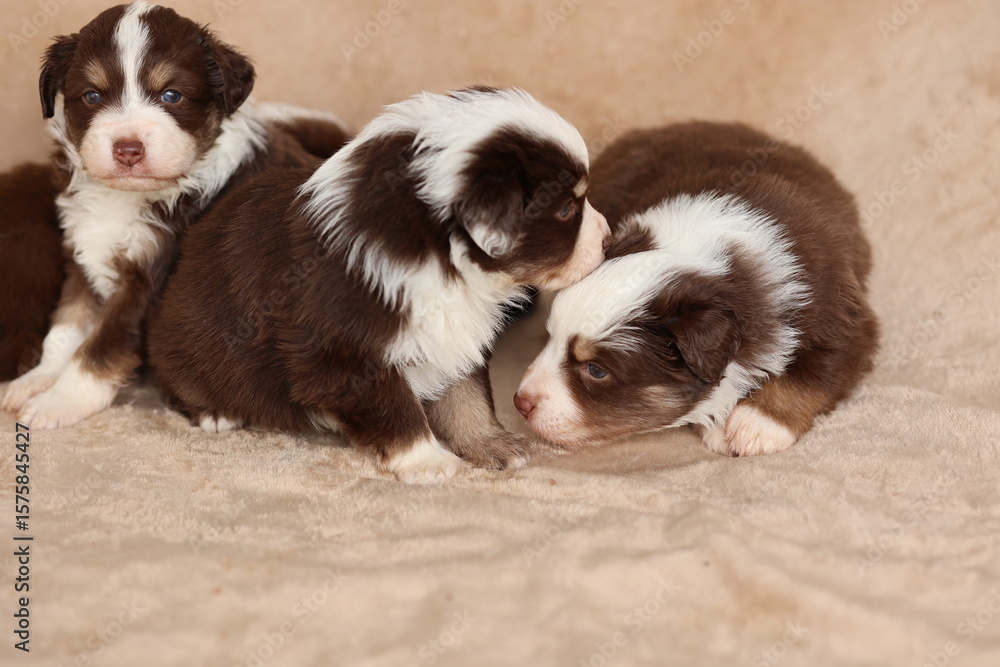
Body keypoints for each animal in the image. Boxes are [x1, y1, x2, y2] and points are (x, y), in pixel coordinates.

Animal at [146, 86, 612, 483]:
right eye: (566, 209)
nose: (608, 239)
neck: (436, 256)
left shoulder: (455, 333)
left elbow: (468, 397)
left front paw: (489, 443)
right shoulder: (345, 355)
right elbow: (397, 411)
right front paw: (428, 461)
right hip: (186, 344)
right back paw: (216, 412)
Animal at [515, 122, 878, 456]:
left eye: (596, 370)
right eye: (551, 337)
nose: (520, 402)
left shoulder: (843, 318)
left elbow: (811, 374)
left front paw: (756, 425)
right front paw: (721, 424)